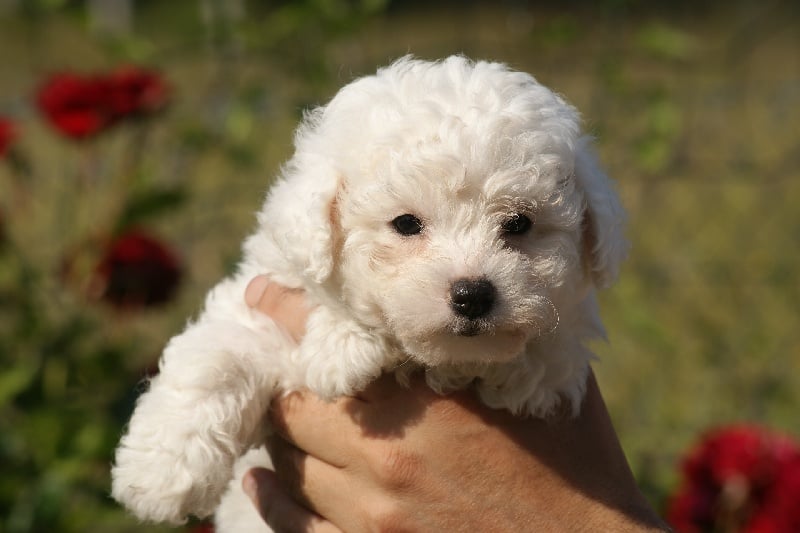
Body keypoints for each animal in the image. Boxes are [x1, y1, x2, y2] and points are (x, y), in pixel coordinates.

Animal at [111, 56, 624, 528]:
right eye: (406, 224)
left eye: (518, 224)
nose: (473, 295)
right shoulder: (262, 300)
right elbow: (216, 361)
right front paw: (159, 478)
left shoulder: (560, 342)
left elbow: (540, 351)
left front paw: (342, 346)